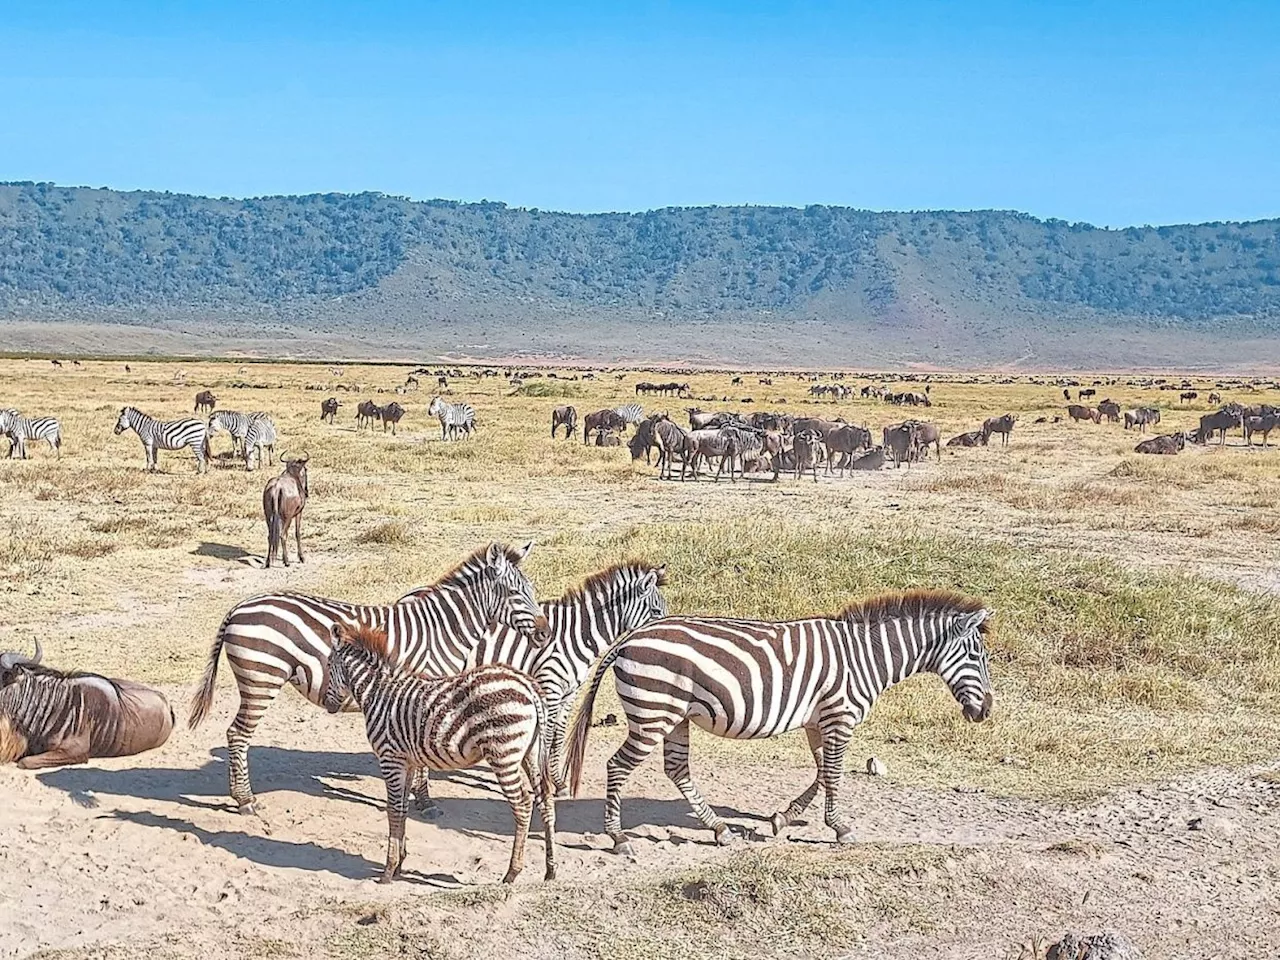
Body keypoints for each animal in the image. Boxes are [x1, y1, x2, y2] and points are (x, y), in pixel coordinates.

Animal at [186, 545, 547, 814]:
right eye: (514, 593)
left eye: (531, 590)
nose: (544, 633)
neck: (442, 629)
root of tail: (240, 606)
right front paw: (425, 802)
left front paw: (414, 797)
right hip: (262, 677)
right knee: (238, 734)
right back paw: (245, 800)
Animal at [322, 624, 558, 885]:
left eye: (328, 664)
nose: (327, 705)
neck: (377, 694)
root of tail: (527, 685)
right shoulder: (407, 761)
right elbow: (402, 808)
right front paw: (400, 863)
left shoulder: (389, 758)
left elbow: (393, 809)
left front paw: (388, 871)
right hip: (531, 753)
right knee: (545, 799)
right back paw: (550, 870)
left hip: (503, 754)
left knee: (523, 804)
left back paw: (512, 872)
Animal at [409, 563, 670, 814]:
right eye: (657, 612)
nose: (667, 635)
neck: (578, 635)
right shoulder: (549, 687)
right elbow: (547, 735)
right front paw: (546, 782)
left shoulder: (569, 693)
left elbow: (558, 736)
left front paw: (559, 784)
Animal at [565, 591, 993, 855]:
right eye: (977, 655)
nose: (986, 710)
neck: (865, 658)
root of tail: (629, 637)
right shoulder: (840, 717)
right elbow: (833, 774)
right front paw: (840, 828)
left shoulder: (818, 721)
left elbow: (822, 773)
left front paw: (780, 819)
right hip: (654, 713)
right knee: (618, 766)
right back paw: (618, 838)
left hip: (676, 717)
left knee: (676, 769)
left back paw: (718, 829)